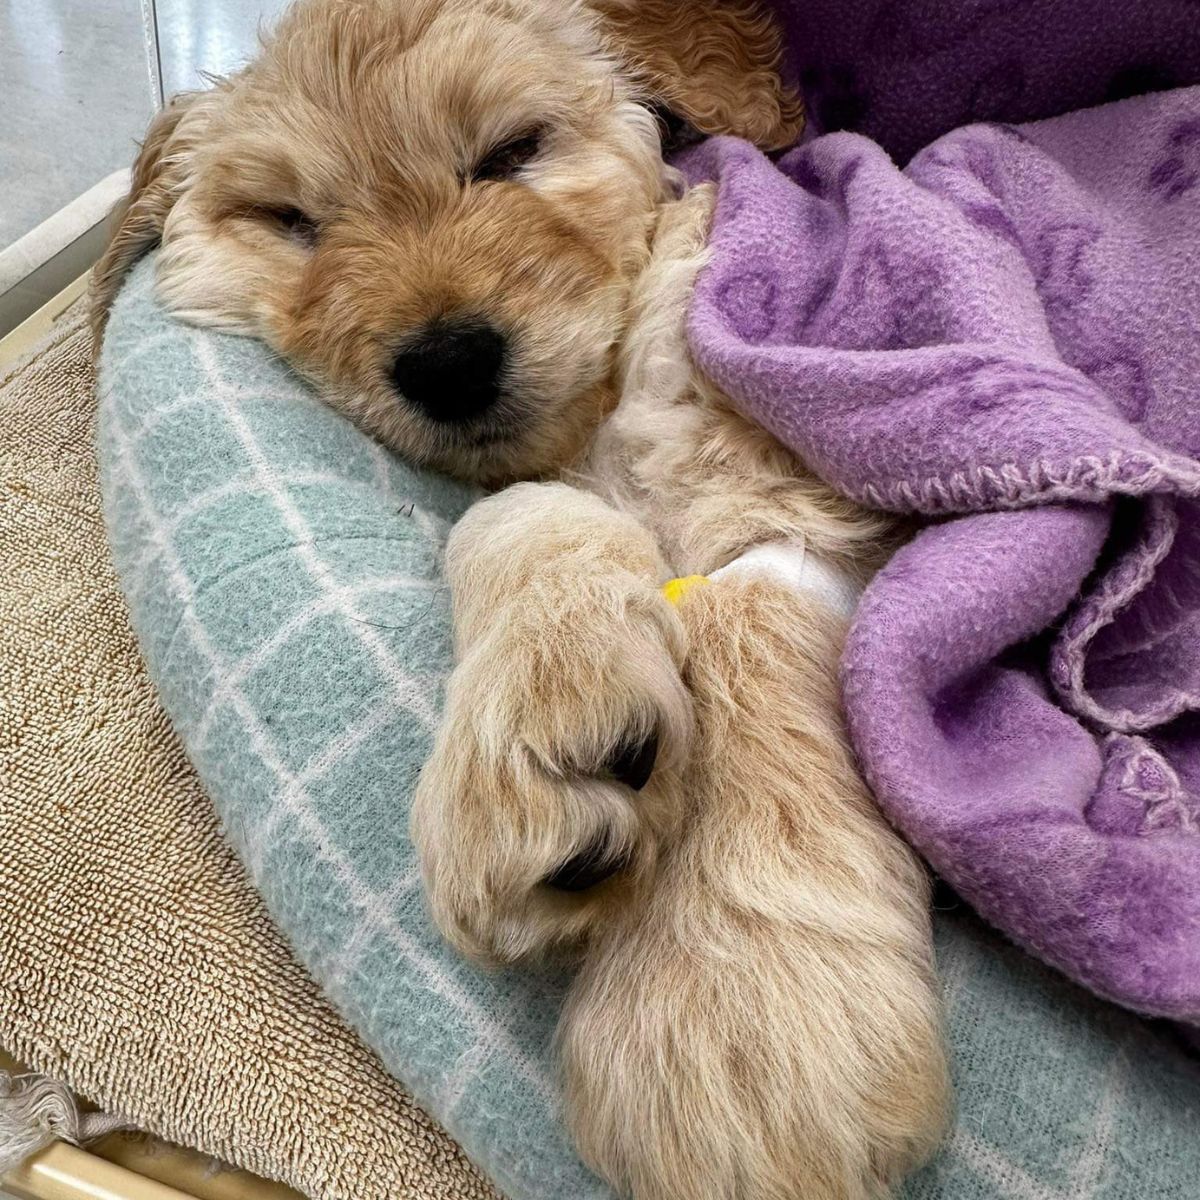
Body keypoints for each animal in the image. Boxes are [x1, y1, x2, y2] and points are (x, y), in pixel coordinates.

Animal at [93, 2, 950, 1200]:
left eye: (510, 151)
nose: (448, 365)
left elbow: (743, 603)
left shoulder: (802, 445)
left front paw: (731, 991)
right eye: (293, 219)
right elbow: (520, 513)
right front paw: (552, 710)